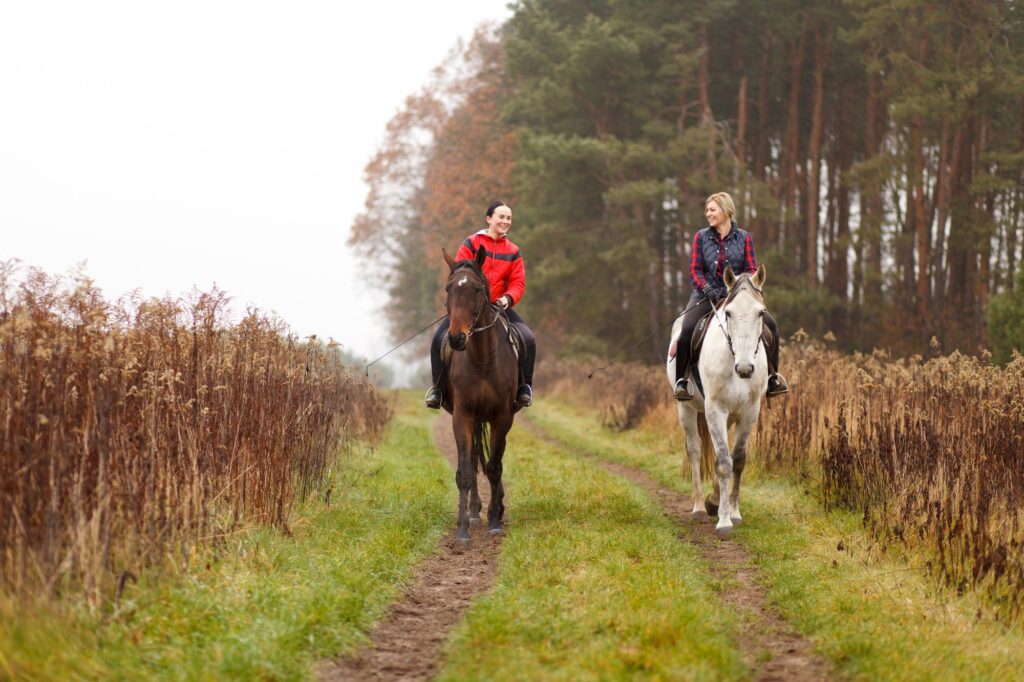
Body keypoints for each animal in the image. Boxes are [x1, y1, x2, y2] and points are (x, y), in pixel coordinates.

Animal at [440, 244, 520, 540]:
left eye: (476, 289)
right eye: (449, 288)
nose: (456, 338)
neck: (484, 358)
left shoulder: (503, 417)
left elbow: (495, 467)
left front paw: (495, 520)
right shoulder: (462, 415)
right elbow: (465, 470)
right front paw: (463, 527)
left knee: (494, 459)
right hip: (474, 420)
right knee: (475, 458)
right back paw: (475, 511)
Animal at [663, 266, 770, 536]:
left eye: (760, 312)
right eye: (728, 313)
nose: (746, 368)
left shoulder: (749, 412)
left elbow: (737, 460)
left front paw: (733, 512)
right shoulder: (715, 410)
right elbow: (722, 462)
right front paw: (723, 521)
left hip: (729, 416)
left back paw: (712, 501)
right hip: (687, 408)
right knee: (695, 449)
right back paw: (700, 508)